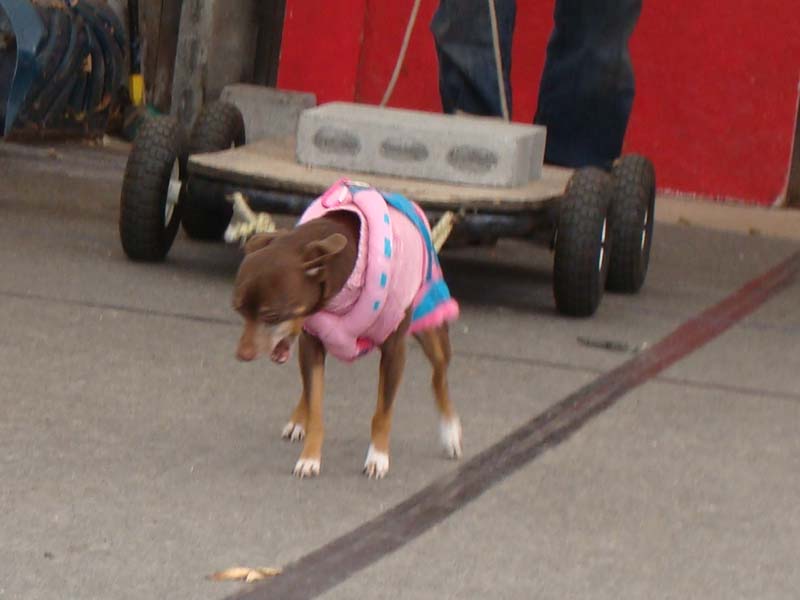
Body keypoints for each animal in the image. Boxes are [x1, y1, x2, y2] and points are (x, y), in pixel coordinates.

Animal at [231, 180, 462, 480]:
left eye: (271, 314)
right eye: (238, 310)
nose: (242, 355)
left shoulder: (394, 352)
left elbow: (383, 412)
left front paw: (378, 457)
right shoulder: (312, 345)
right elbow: (316, 405)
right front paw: (310, 457)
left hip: (432, 322)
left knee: (439, 376)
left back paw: (450, 432)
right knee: (307, 387)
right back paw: (298, 419)